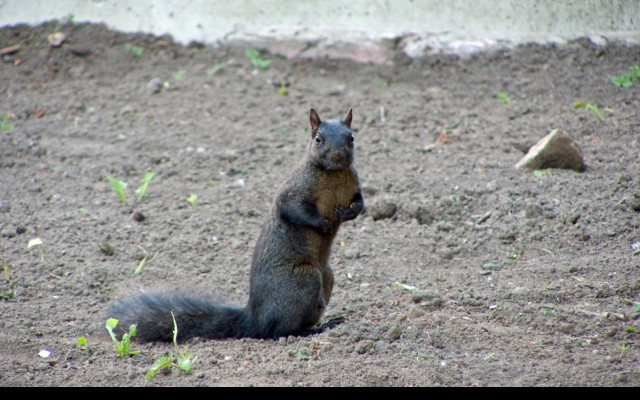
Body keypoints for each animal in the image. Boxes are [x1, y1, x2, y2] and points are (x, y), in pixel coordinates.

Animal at [107, 108, 362, 340]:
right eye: (318, 139)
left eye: (351, 137)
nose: (338, 156)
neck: (333, 173)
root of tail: (254, 320)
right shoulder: (294, 191)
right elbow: (293, 209)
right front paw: (324, 225)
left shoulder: (354, 187)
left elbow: (360, 203)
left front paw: (349, 213)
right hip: (303, 281)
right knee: (279, 331)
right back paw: (314, 329)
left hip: (326, 276)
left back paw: (327, 322)